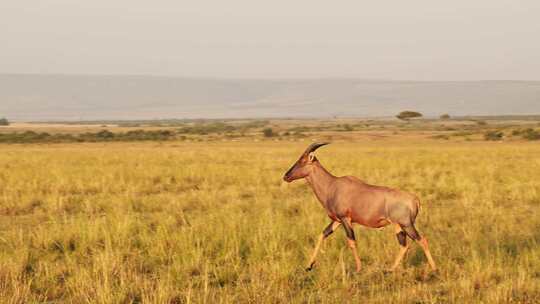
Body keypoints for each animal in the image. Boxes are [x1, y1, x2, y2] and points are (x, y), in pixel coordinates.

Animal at [284, 142, 436, 274]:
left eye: (303, 161)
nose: (286, 176)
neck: (332, 185)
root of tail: (415, 199)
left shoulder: (346, 219)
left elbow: (352, 242)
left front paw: (358, 268)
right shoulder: (337, 221)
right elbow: (322, 235)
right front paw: (309, 266)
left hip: (407, 225)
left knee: (422, 240)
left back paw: (434, 269)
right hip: (398, 226)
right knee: (404, 245)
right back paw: (390, 270)